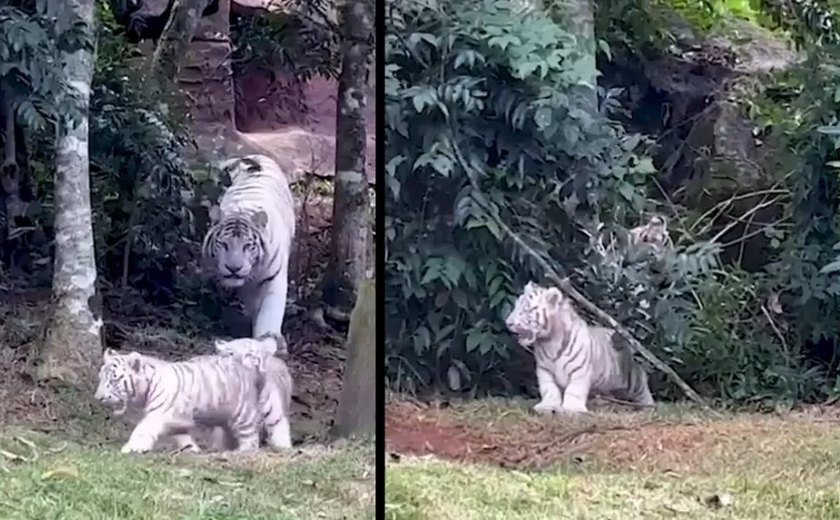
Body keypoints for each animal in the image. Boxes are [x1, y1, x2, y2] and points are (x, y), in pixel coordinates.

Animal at [94, 348, 264, 454]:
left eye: (113, 380)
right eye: (100, 378)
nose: (98, 397)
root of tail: (244, 367)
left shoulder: (157, 415)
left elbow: (142, 430)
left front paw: (132, 448)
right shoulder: (177, 422)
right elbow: (183, 437)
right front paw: (192, 449)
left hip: (243, 416)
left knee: (250, 437)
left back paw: (245, 452)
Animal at [201, 154, 296, 342]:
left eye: (247, 246)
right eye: (223, 244)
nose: (233, 268)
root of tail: (251, 156)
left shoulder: (274, 279)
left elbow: (270, 311)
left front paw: (269, 336)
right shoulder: (247, 288)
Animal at [504, 281, 654, 414]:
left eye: (527, 310)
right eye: (516, 307)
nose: (508, 323)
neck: (548, 342)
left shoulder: (579, 369)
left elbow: (574, 390)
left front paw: (572, 409)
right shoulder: (545, 370)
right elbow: (549, 389)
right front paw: (548, 406)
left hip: (629, 377)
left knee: (642, 380)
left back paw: (648, 406)